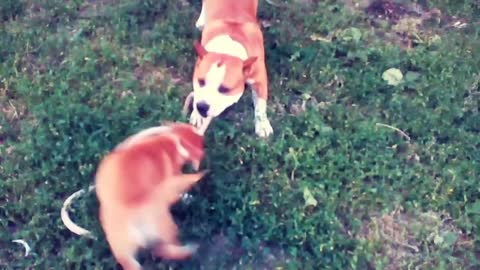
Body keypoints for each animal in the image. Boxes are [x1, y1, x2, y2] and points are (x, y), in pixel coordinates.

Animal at [188, 0, 274, 138]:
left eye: (225, 89)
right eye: (201, 81)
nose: (202, 107)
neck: (227, 50)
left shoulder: (260, 80)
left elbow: (260, 106)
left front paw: (262, 125)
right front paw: (197, 115)